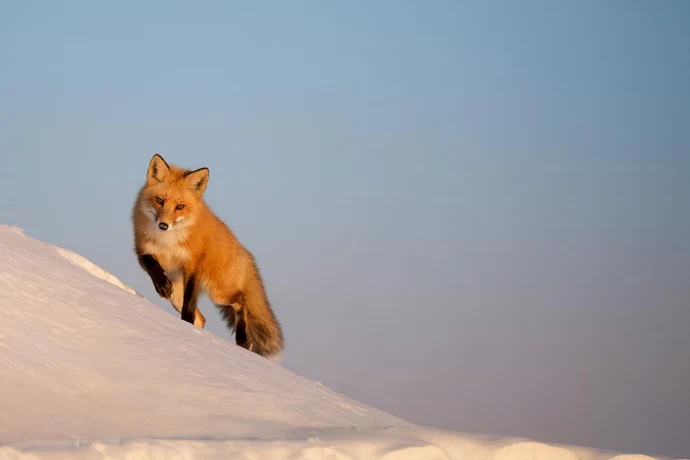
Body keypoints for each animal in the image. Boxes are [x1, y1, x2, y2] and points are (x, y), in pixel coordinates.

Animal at [131, 153, 284, 360]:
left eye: (180, 206)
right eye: (159, 200)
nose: (163, 225)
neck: (168, 241)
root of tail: (245, 252)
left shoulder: (193, 265)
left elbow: (189, 305)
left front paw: (185, 328)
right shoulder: (143, 252)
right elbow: (151, 263)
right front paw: (161, 284)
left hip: (219, 291)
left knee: (241, 301)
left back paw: (243, 341)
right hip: (177, 296)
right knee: (201, 318)